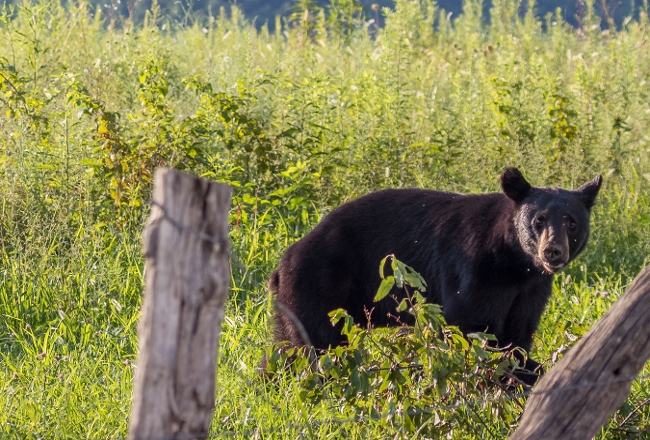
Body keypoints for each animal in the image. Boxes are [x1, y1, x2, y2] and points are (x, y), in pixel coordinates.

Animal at [266, 168, 600, 384]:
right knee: (318, 345)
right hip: (320, 286)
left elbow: (518, 334)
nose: (552, 251)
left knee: (286, 346)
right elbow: (469, 327)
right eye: (539, 220)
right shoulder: (476, 269)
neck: (515, 262)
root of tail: (282, 264)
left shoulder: (531, 289)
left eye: (571, 222)